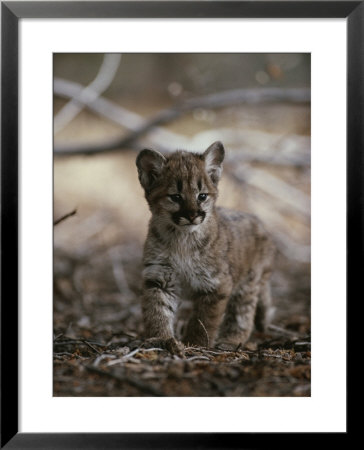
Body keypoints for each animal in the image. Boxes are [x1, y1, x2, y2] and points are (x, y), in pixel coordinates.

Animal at [136, 142, 276, 354]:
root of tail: (259, 221)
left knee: (242, 315)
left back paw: (231, 342)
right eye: (175, 197)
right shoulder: (159, 276)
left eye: (202, 196)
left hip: (248, 283)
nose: (192, 215)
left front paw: (196, 344)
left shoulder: (215, 283)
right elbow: (157, 310)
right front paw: (161, 339)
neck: (182, 238)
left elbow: (204, 320)